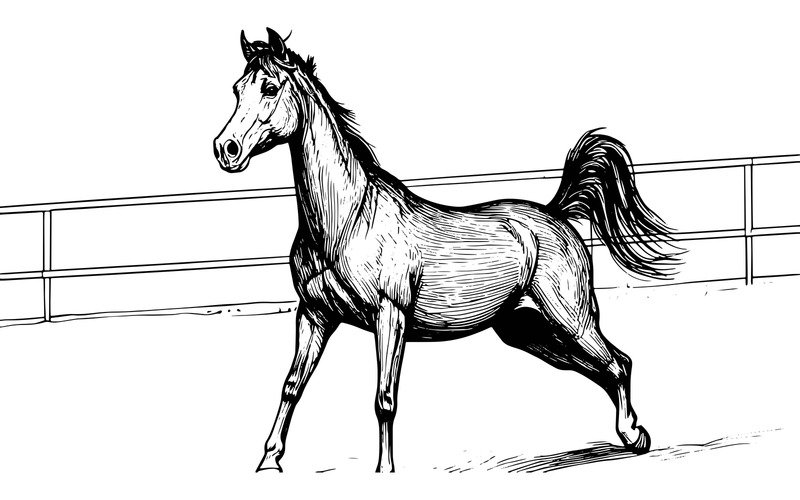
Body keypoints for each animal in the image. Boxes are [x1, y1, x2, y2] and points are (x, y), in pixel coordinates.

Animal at [213, 28, 681, 473]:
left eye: (270, 87)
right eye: (237, 88)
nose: (226, 150)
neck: (345, 220)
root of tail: (556, 214)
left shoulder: (390, 316)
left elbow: (384, 398)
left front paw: (385, 471)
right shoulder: (315, 315)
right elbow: (291, 387)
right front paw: (268, 461)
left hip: (572, 321)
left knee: (618, 362)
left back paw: (635, 435)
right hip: (526, 330)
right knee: (599, 367)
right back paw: (632, 435)